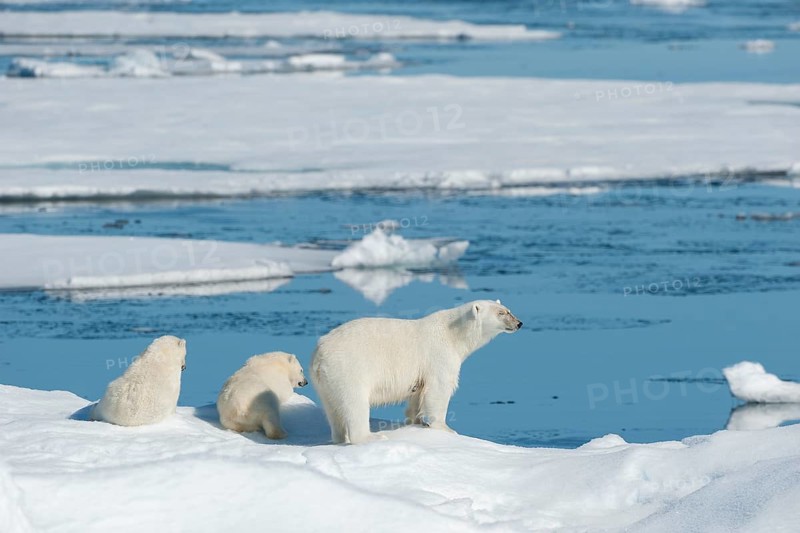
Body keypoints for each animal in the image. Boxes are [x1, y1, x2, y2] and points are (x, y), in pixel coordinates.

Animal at [310, 300, 522, 444]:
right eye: (501, 313)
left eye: (509, 310)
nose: (519, 323)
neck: (453, 334)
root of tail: (320, 354)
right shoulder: (439, 355)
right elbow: (439, 389)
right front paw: (446, 429)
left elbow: (417, 395)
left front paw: (416, 421)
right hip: (349, 369)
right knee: (355, 403)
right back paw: (372, 437)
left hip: (326, 382)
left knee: (332, 409)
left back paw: (339, 437)